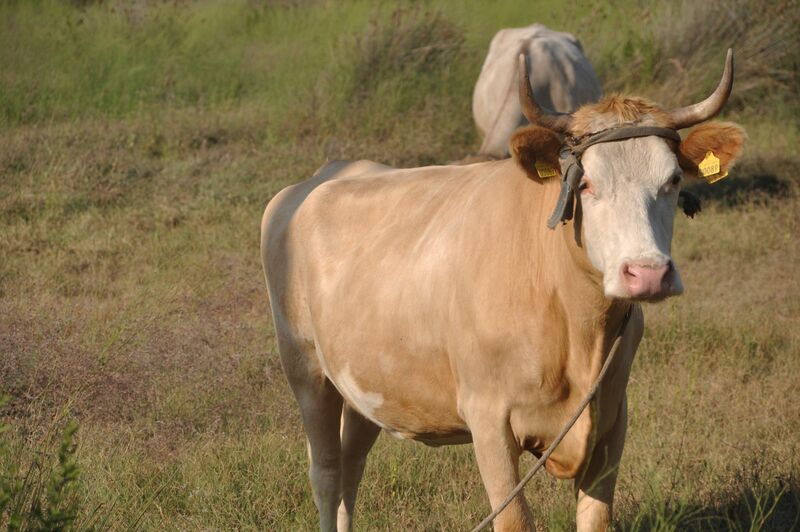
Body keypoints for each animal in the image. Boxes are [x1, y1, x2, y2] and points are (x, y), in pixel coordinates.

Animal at [260, 50, 744, 532]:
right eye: (586, 183)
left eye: (673, 181)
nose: (646, 274)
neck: (577, 330)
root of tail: (317, 180)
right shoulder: (488, 418)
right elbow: (512, 519)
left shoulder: (611, 419)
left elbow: (597, 519)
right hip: (305, 368)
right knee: (326, 472)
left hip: (365, 383)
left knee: (351, 466)